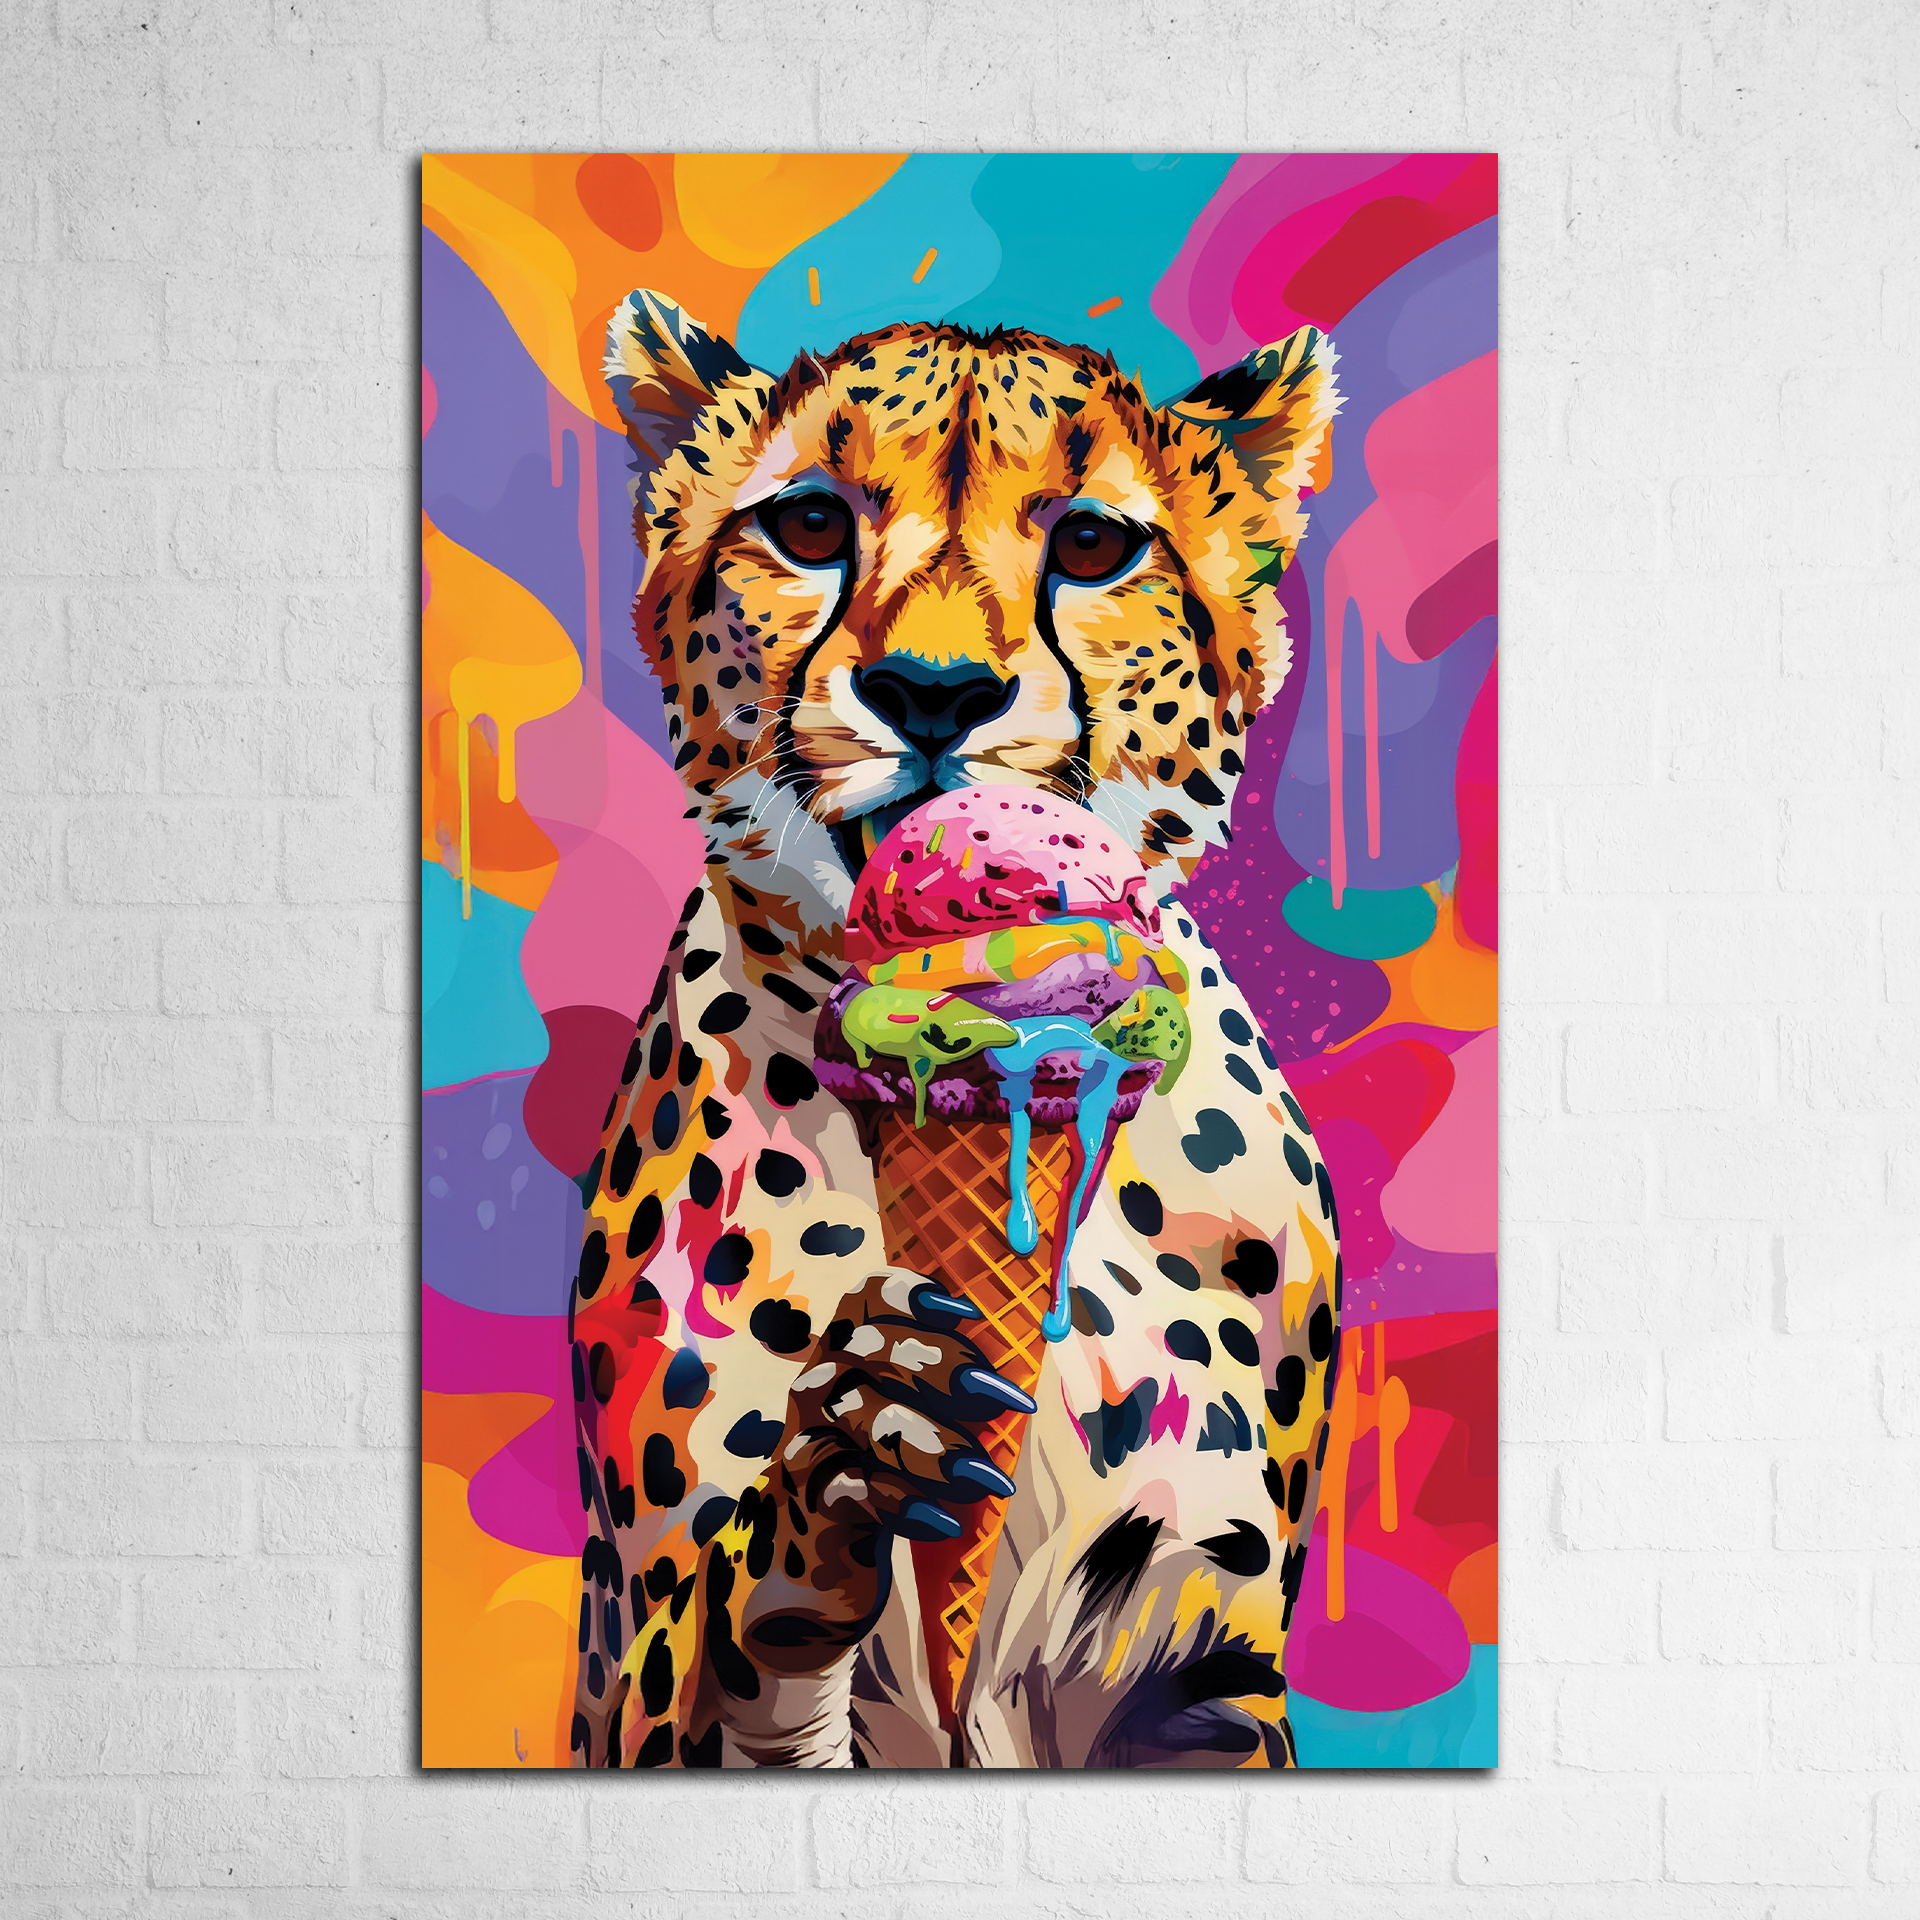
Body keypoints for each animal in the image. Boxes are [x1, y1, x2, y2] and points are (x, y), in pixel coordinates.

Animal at [561, 287, 1345, 1769]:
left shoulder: (1200, 1677)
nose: (931, 692)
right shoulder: (638, 1671)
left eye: (1092, 545)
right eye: (811, 524)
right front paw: (859, 1451)